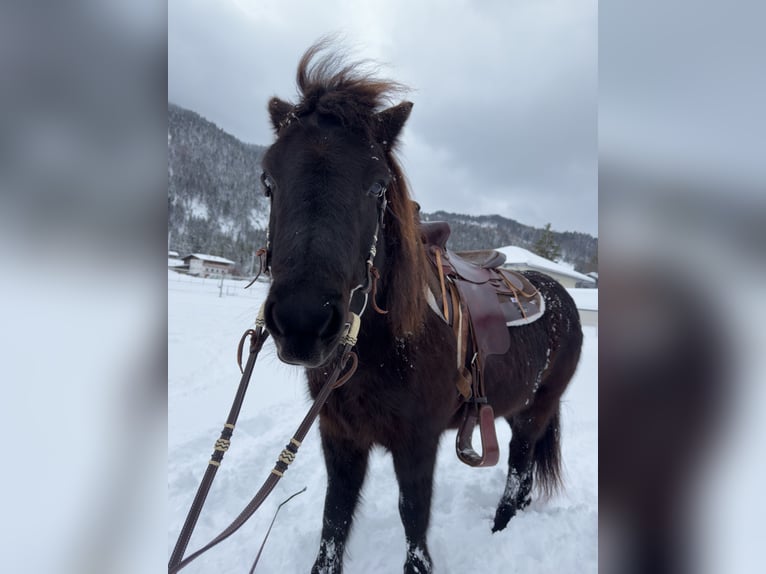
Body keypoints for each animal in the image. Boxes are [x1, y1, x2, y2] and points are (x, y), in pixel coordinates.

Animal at [259, 40, 583, 574]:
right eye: (268, 180)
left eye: (376, 185)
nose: (303, 323)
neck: (381, 347)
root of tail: (561, 297)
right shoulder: (339, 436)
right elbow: (333, 526)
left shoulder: (417, 443)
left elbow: (413, 522)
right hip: (516, 406)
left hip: (537, 409)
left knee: (518, 470)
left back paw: (499, 528)